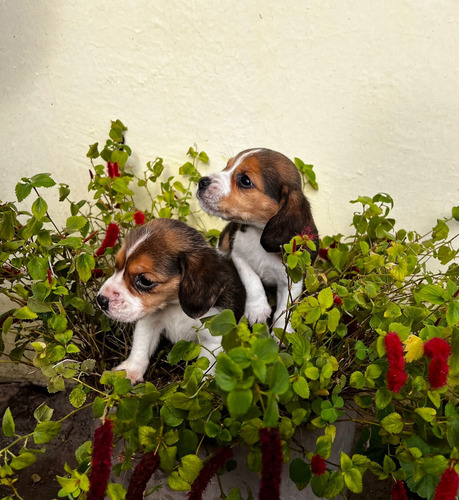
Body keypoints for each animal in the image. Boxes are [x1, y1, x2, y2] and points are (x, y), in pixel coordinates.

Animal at [97, 218, 246, 382]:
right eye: (116, 265)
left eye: (145, 280)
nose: (101, 300)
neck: (175, 306)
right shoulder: (149, 323)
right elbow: (140, 348)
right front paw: (129, 371)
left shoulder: (214, 340)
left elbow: (203, 371)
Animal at [196, 147, 318, 332]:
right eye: (227, 166)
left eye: (246, 181)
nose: (202, 181)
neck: (258, 232)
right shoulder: (238, 255)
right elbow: (251, 279)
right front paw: (257, 309)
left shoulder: (292, 279)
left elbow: (285, 308)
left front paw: (282, 331)